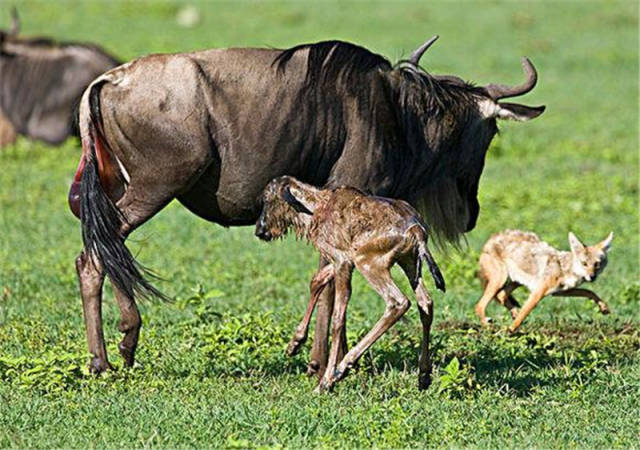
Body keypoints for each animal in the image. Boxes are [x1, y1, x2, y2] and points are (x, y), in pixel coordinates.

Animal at [255, 178, 444, 392]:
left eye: (267, 199)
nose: (260, 230)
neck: (317, 207)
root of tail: (416, 229)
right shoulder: (344, 260)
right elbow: (316, 281)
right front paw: (294, 344)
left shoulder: (343, 261)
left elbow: (338, 319)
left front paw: (325, 381)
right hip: (409, 263)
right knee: (425, 303)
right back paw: (424, 375)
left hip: (369, 262)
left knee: (398, 302)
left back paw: (341, 369)